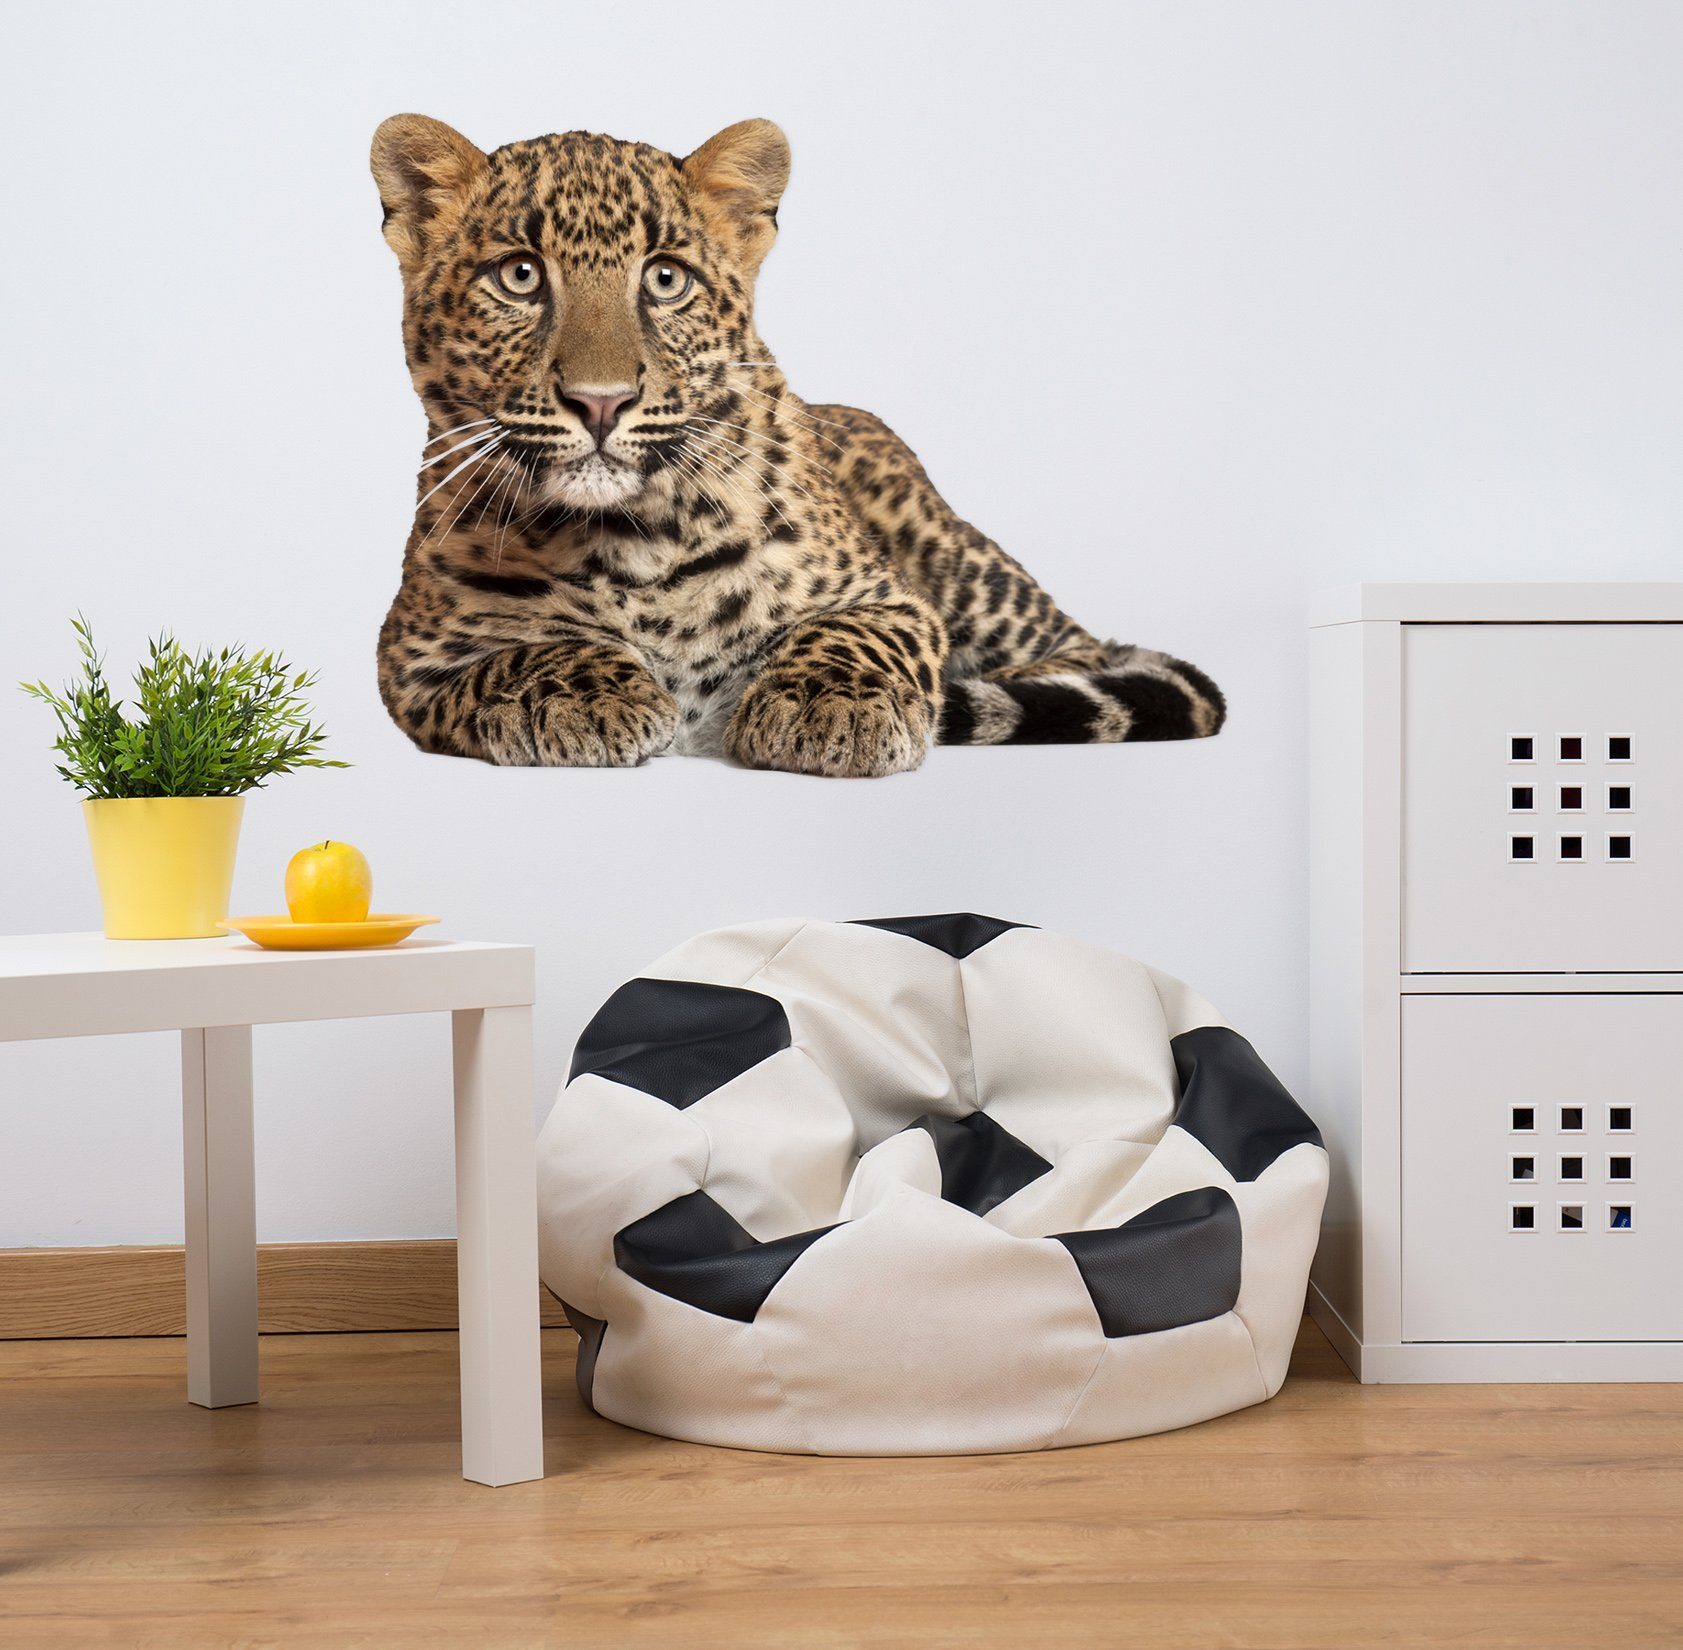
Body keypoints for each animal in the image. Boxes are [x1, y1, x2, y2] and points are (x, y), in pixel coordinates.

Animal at [370, 114, 1226, 778]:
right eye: (518, 276)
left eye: (665, 279)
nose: (601, 401)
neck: (626, 539)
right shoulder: (409, 657)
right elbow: (518, 652)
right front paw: (586, 693)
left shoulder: (890, 599)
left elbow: (852, 632)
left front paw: (828, 706)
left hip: (960, 563)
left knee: (1086, 646)